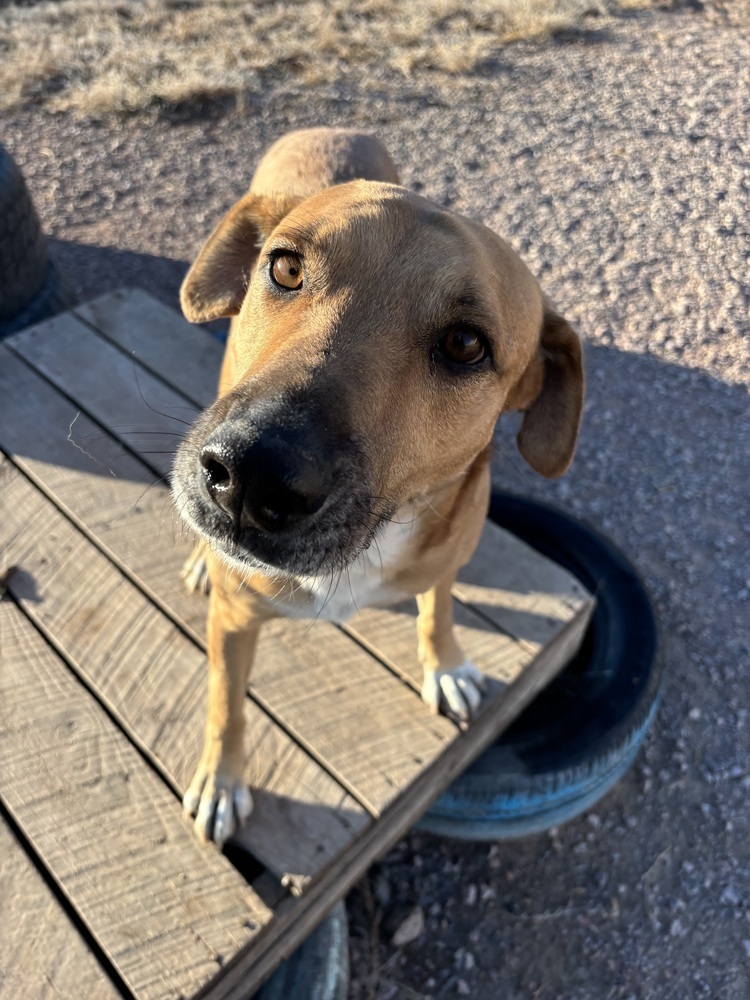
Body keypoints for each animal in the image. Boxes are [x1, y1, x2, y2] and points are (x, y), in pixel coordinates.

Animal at [173, 125, 584, 844]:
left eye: (466, 345)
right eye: (285, 269)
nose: (248, 475)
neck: (374, 538)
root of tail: (327, 129)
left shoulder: (445, 560)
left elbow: (438, 609)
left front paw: (445, 663)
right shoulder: (234, 621)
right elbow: (227, 704)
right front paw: (221, 781)